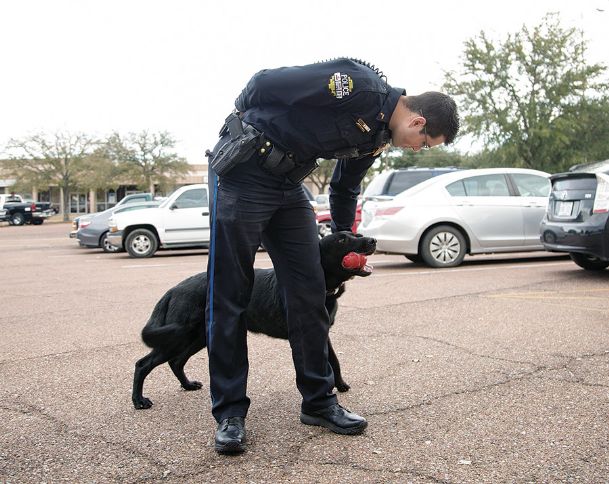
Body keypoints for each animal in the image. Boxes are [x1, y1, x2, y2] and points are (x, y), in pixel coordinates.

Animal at [132, 231, 376, 408]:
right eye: (342, 239)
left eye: (354, 233)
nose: (373, 240)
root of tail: (174, 289)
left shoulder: (322, 332)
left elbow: (334, 360)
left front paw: (340, 384)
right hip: (179, 336)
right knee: (143, 364)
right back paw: (139, 401)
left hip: (197, 337)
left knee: (176, 361)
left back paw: (188, 385)